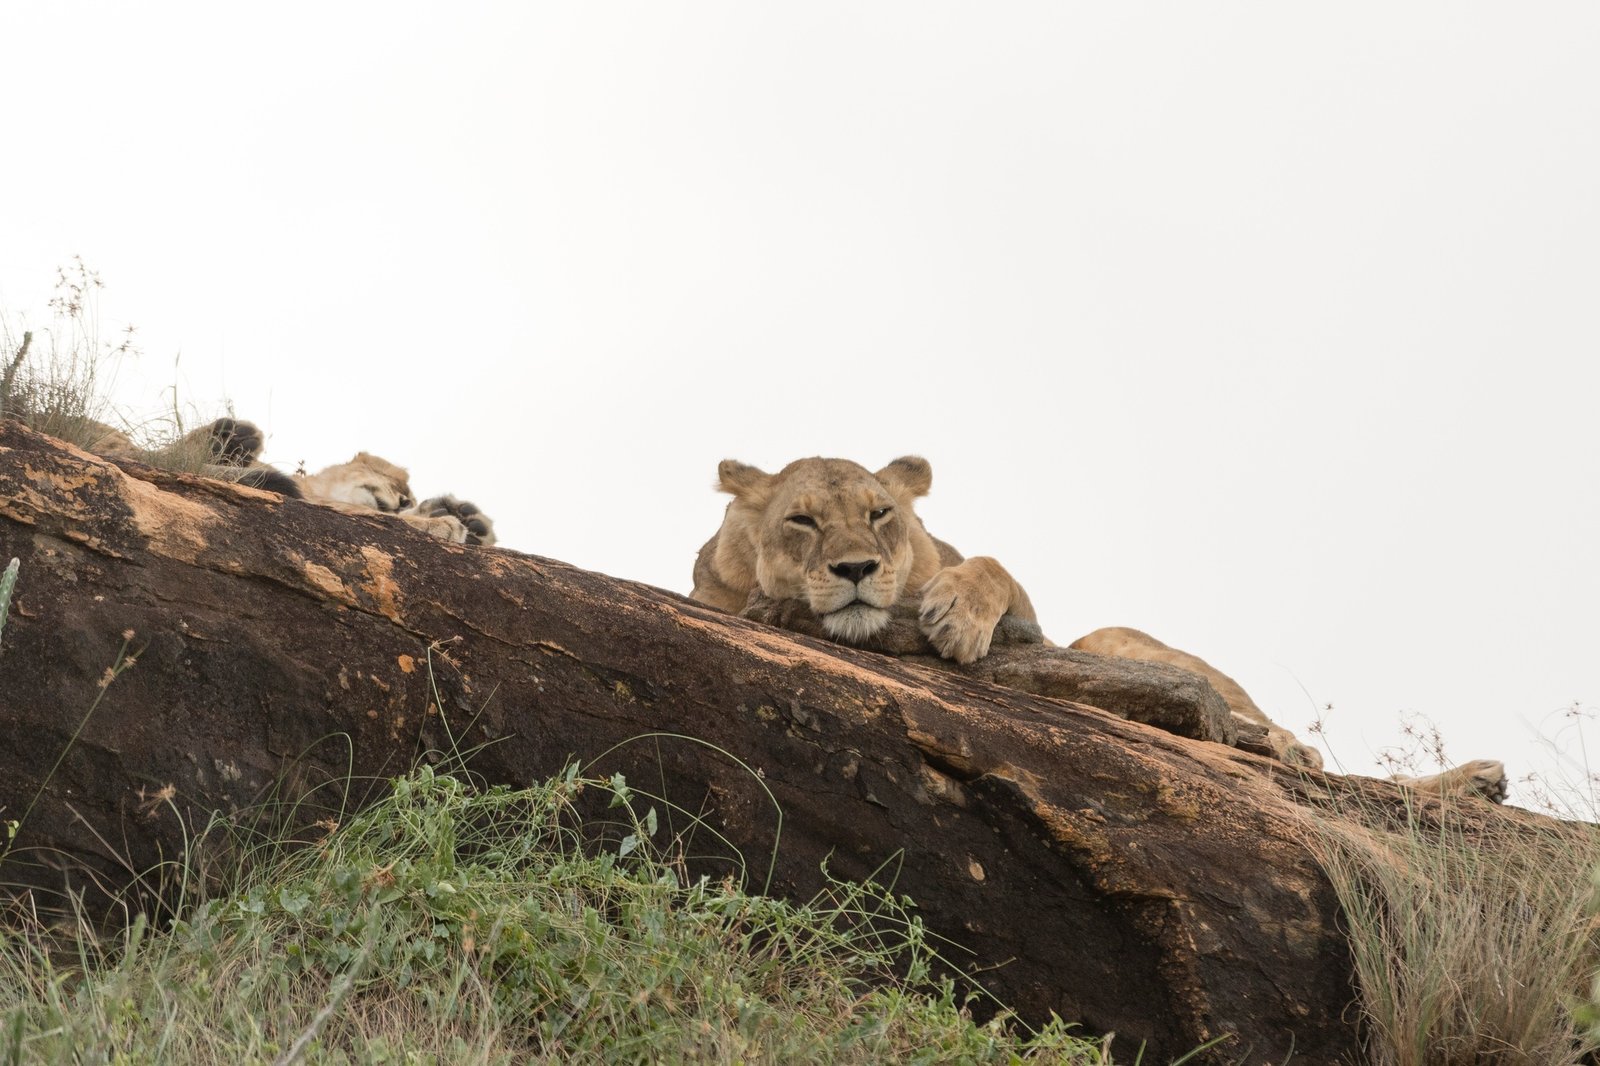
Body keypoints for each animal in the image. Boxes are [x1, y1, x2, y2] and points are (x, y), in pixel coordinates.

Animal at [692, 454, 1506, 803]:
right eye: (802, 521)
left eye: (880, 513)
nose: (858, 567)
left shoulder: (1033, 620)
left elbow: (990, 566)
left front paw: (956, 615)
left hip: (1108, 636)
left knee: (1297, 748)